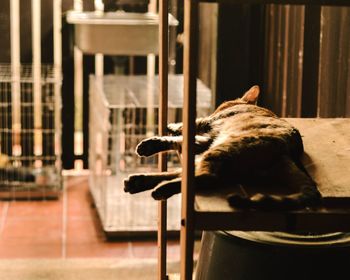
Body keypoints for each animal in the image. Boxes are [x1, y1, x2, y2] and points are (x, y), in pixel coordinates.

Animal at [124, 85, 322, 210]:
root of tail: (288, 151)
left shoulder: (206, 124)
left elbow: (184, 129)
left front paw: (168, 128)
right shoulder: (205, 139)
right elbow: (179, 140)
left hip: (223, 148)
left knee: (207, 177)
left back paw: (161, 188)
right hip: (217, 153)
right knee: (184, 174)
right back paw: (139, 181)